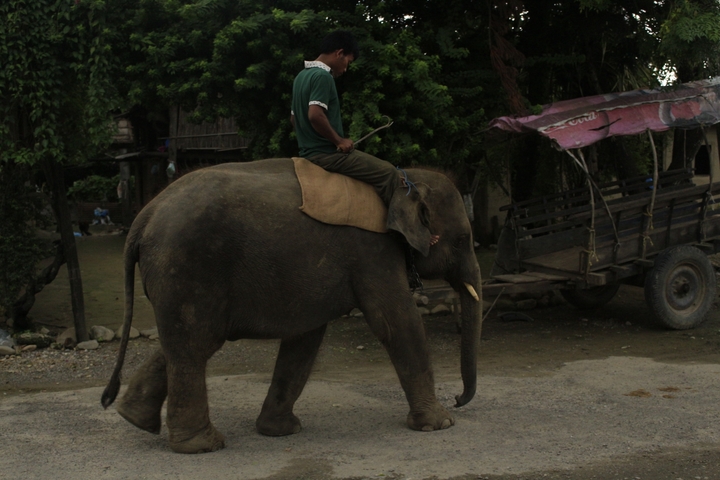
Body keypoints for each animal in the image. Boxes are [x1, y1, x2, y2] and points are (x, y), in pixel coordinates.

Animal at [101, 158, 482, 454]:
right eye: (463, 239)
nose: (457, 399)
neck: (405, 178)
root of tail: (142, 217)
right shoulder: (373, 253)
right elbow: (396, 321)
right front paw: (440, 425)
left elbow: (305, 339)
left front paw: (281, 431)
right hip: (188, 265)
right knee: (196, 345)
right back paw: (203, 446)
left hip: (175, 276)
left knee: (180, 342)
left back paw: (133, 418)